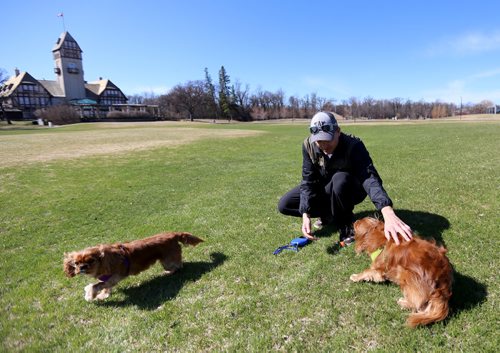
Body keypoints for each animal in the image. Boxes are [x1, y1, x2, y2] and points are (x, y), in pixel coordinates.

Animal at [63, 231, 202, 300]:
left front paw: (90, 295)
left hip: (167, 261)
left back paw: (171, 272)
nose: (82, 267)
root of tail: (173, 234)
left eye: (91, 261)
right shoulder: (108, 279)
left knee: (179, 265)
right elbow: (104, 287)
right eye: (76, 263)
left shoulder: (115, 277)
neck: (104, 261)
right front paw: (103, 295)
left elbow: (96, 285)